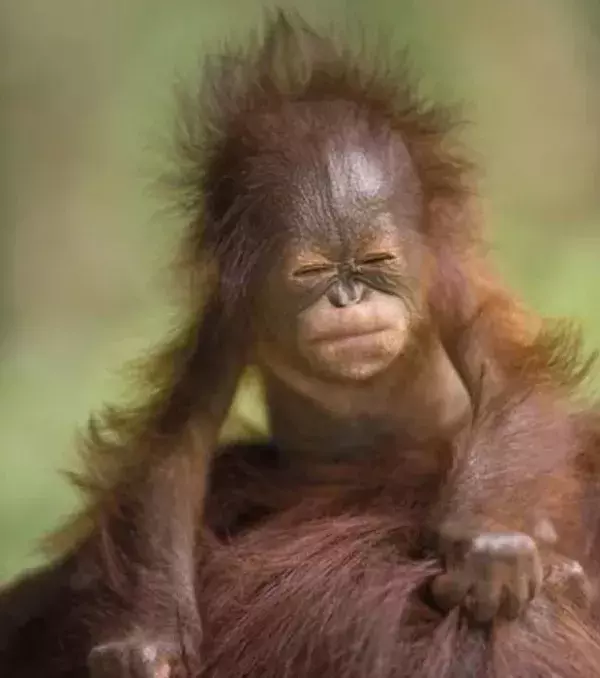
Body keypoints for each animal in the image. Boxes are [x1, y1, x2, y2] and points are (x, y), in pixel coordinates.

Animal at [1, 9, 597, 678]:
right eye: (312, 272)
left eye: (375, 262)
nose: (349, 298)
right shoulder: (227, 317)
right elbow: (183, 433)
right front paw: (147, 637)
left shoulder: (446, 279)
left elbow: (506, 373)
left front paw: (488, 545)